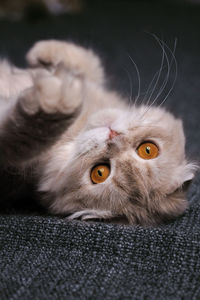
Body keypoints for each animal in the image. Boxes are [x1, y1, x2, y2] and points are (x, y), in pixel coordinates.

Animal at [0, 39, 197, 225]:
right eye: (148, 150)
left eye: (99, 173)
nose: (113, 136)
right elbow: (90, 66)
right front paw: (42, 53)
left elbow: (26, 132)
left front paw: (56, 98)